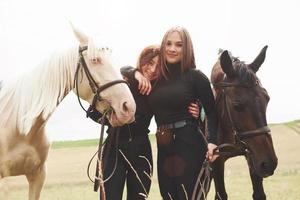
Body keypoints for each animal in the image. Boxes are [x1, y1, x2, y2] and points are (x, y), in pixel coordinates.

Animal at [210, 46, 278, 199]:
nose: (269, 164)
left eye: (267, 98)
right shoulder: (216, 162)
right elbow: (221, 194)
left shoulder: (252, 155)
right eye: (237, 104)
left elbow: (259, 194)